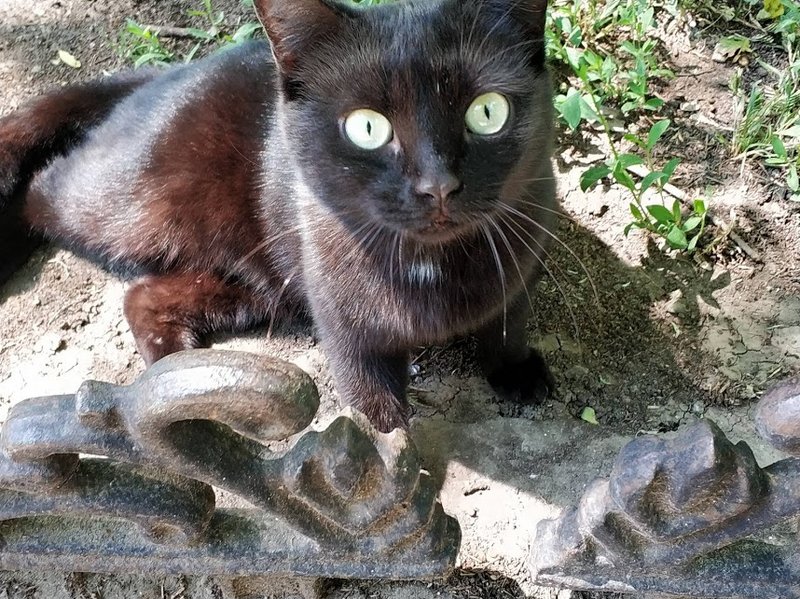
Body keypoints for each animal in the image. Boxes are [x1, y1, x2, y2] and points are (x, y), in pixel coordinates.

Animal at [0, 0, 557, 433]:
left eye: (487, 112)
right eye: (368, 128)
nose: (437, 185)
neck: (429, 263)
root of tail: (169, 73)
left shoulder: (526, 254)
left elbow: (508, 322)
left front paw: (517, 372)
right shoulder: (346, 324)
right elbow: (372, 405)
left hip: (254, 281)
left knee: (144, 296)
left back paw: (181, 370)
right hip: (128, 203)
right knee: (43, 187)